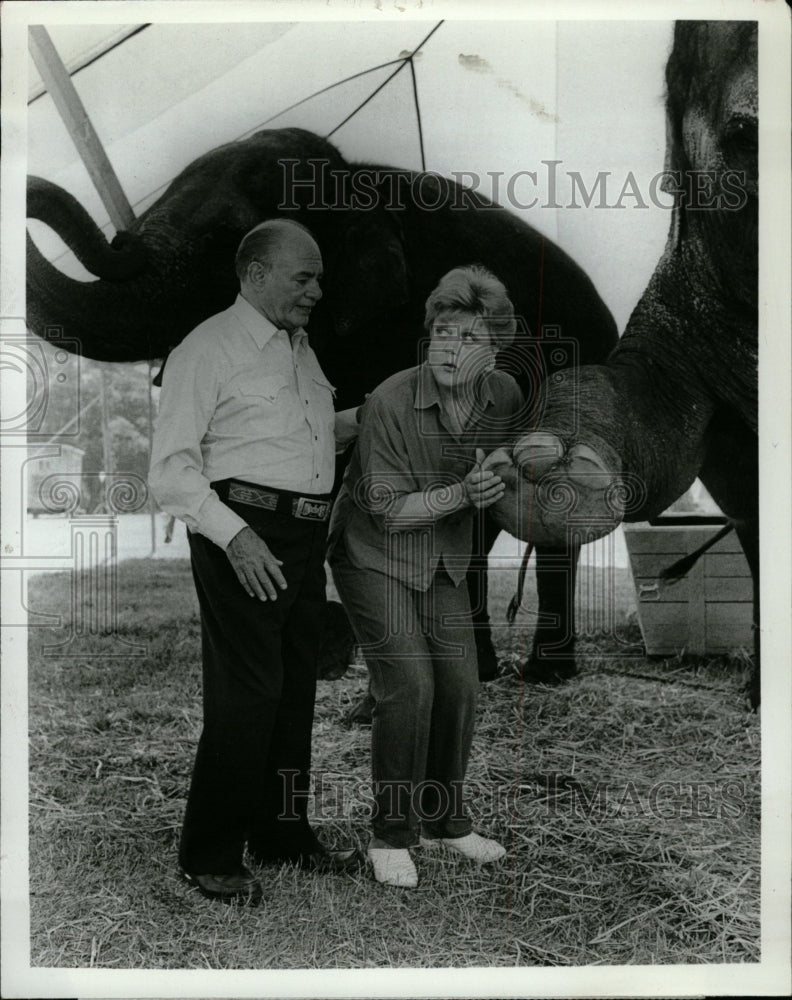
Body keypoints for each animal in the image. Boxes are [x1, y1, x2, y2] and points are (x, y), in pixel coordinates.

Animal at [24, 125, 620, 688]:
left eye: (228, 239)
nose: (120, 236)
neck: (351, 179)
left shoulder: (393, 323)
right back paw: (484, 670)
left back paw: (544, 674)